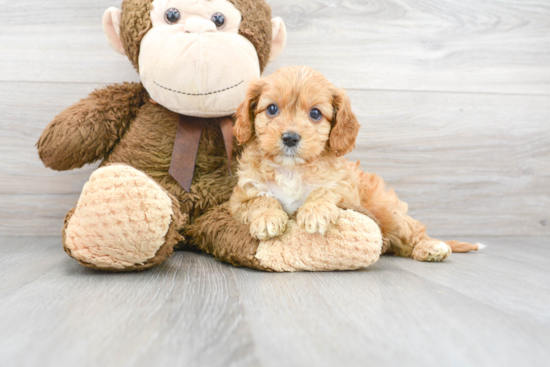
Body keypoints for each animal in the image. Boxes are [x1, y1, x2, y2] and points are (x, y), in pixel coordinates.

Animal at [231, 66, 480, 262]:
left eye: (315, 113)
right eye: (272, 109)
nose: (290, 138)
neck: (292, 169)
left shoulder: (346, 192)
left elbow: (326, 191)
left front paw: (316, 211)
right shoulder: (240, 198)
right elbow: (259, 200)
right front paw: (267, 218)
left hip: (388, 212)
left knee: (412, 233)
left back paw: (431, 247)